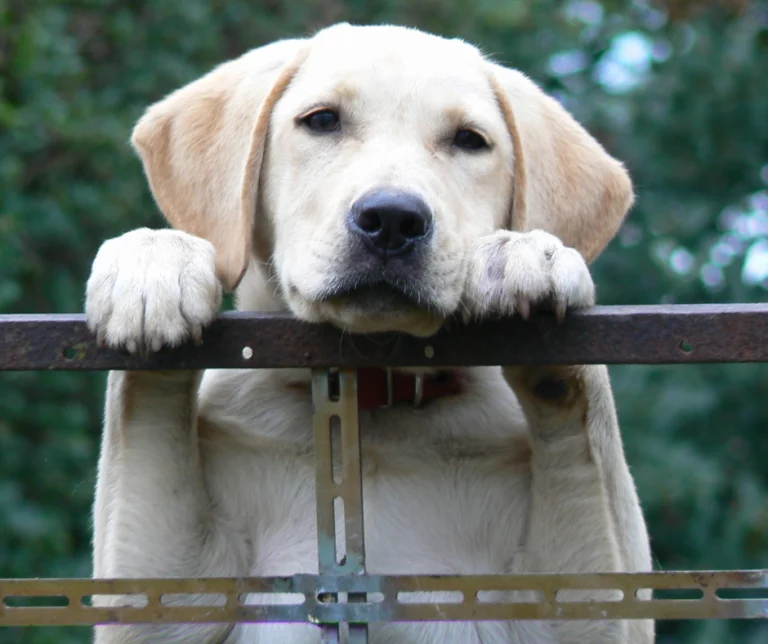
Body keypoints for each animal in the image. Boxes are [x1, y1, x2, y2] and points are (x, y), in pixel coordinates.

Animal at [88, 22, 656, 640]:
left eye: (469, 140)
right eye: (322, 121)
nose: (392, 220)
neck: (374, 401)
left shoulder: (574, 603)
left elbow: (586, 428)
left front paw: (529, 254)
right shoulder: (175, 595)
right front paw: (152, 262)